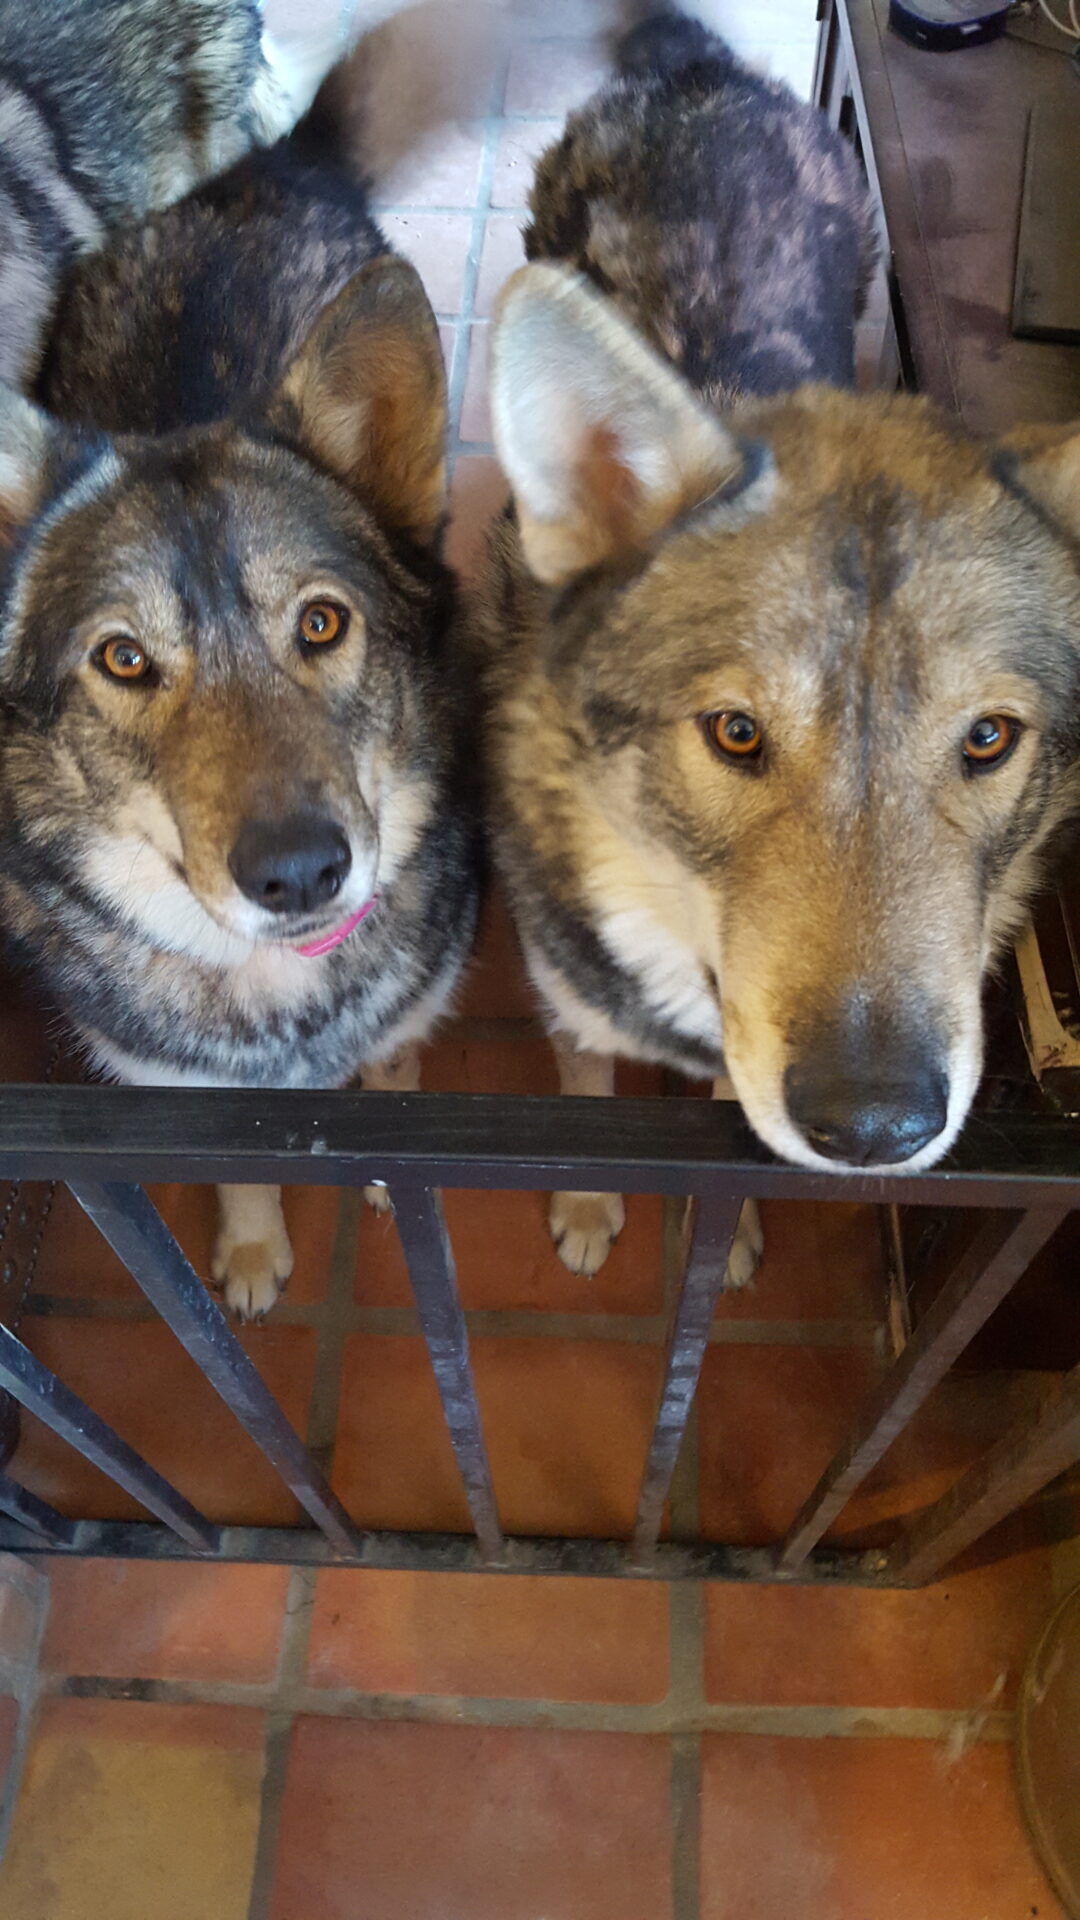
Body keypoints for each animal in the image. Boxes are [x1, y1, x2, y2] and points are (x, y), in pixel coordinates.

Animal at [0, 127, 474, 1320]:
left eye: (321, 622)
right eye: (123, 659)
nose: (300, 872)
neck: (284, 1016)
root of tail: (276, 161)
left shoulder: (407, 1026)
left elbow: (394, 1090)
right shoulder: (180, 1099)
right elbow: (239, 1172)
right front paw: (256, 1250)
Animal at [474, 11, 1076, 1290]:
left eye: (988, 738)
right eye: (736, 733)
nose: (873, 1125)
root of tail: (696, 66)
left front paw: (733, 1233)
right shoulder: (567, 994)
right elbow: (586, 1092)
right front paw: (590, 1209)